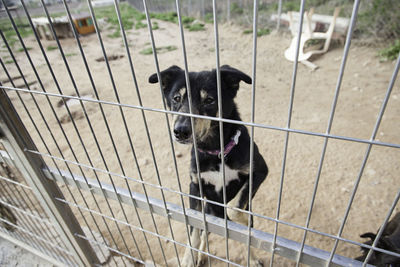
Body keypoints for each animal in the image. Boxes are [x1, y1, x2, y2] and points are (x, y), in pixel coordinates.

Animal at [149, 65, 268, 267]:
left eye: (209, 100)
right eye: (176, 98)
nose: (180, 131)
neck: (216, 150)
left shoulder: (259, 171)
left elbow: (233, 208)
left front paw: (241, 221)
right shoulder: (195, 186)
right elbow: (194, 229)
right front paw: (188, 258)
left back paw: (250, 258)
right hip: (208, 210)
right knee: (205, 232)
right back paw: (201, 255)